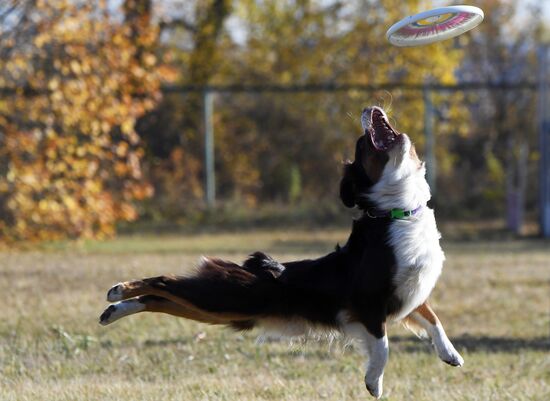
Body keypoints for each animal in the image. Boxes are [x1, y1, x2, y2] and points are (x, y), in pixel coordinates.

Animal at [100, 106, 466, 396]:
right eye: (363, 145)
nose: (368, 108)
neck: (399, 212)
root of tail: (250, 268)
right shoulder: (369, 304)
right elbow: (384, 346)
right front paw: (373, 383)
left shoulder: (410, 295)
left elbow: (434, 319)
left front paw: (451, 354)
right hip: (223, 297)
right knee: (162, 281)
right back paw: (118, 290)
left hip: (224, 310)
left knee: (159, 299)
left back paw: (115, 310)